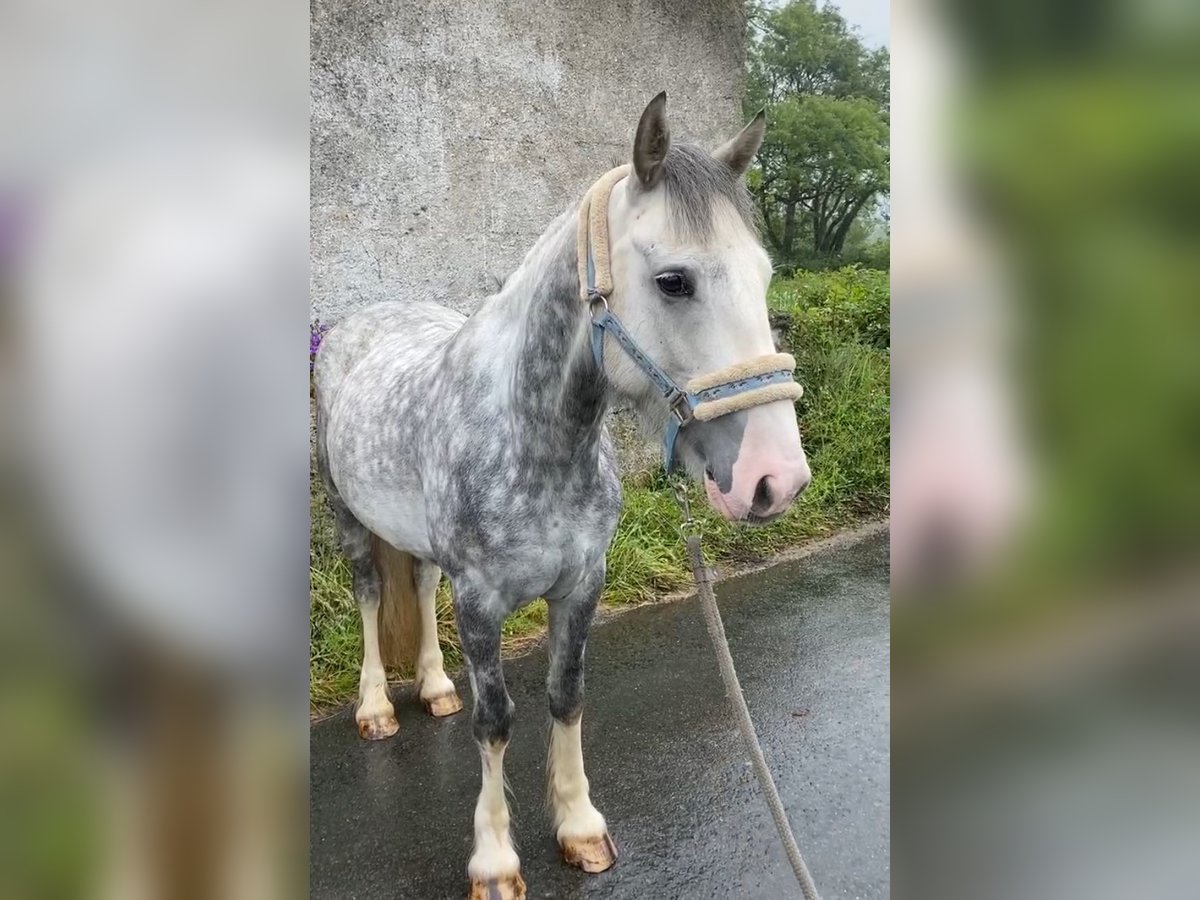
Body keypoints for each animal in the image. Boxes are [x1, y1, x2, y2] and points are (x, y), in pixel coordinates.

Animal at [314, 95, 811, 897]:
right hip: (348, 517)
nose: (777, 479)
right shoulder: (480, 602)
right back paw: (376, 708)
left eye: (764, 276)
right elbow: (496, 721)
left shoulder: (582, 586)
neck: (534, 437)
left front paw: (580, 828)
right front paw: (494, 860)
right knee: (368, 594)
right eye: (674, 280)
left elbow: (567, 695)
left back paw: (435, 686)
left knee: (415, 585)